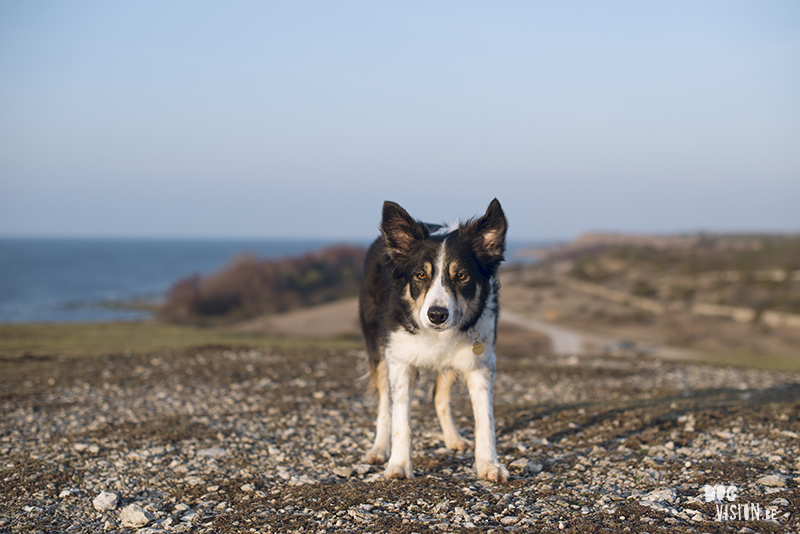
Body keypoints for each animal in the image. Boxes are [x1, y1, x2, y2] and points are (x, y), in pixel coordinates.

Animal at [360, 199, 510, 484]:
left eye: (462, 275)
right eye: (420, 275)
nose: (437, 315)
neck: (436, 335)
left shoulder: (481, 364)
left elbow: (485, 420)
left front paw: (489, 464)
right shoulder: (399, 361)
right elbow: (401, 420)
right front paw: (399, 465)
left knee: (438, 396)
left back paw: (453, 438)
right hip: (378, 349)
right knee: (385, 403)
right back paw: (378, 448)